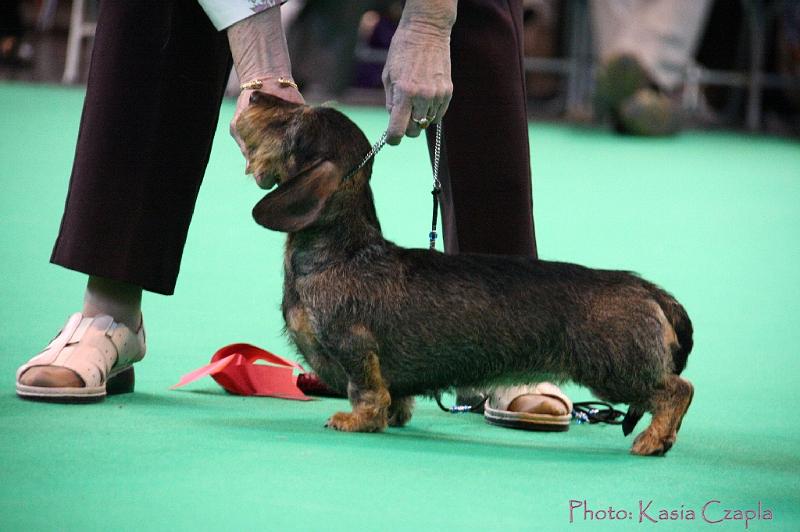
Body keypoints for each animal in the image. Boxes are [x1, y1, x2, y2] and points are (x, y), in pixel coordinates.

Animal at [238, 92, 692, 458]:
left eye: (292, 123)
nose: (255, 93)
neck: (342, 253)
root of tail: (649, 289)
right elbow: (396, 396)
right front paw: (396, 414)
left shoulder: (354, 346)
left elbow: (365, 392)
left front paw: (356, 420)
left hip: (614, 369)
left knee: (676, 390)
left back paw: (653, 439)